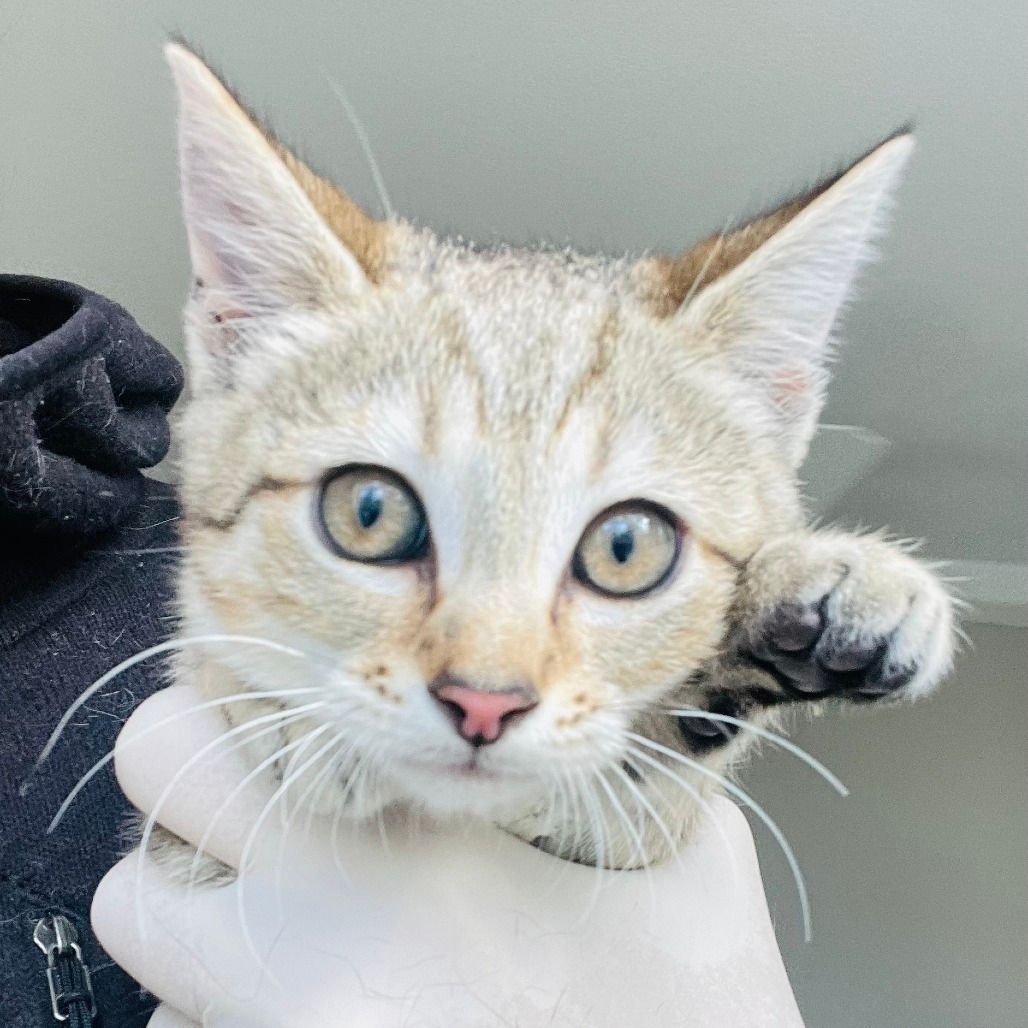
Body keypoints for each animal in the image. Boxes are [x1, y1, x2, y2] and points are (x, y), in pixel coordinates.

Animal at [160, 44, 953, 871]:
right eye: (369, 512)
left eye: (626, 547)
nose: (484, 702)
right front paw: (288, 715)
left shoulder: (624, 840)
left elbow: (637, 786)